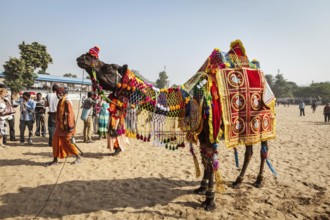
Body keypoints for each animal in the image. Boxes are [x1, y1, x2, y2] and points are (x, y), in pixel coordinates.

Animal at [76, 40, 276, 211]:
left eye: (109, 67)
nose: (85, 57)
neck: (190, 100)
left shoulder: (210, 133)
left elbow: (211, 161)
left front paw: (210, 201)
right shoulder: (202, 135)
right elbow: (205, 161)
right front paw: (201, 188)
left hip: (262, 123)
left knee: (262, 149)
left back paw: (258, 180)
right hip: (245, 128)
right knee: (249, 151)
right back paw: (238, 181)